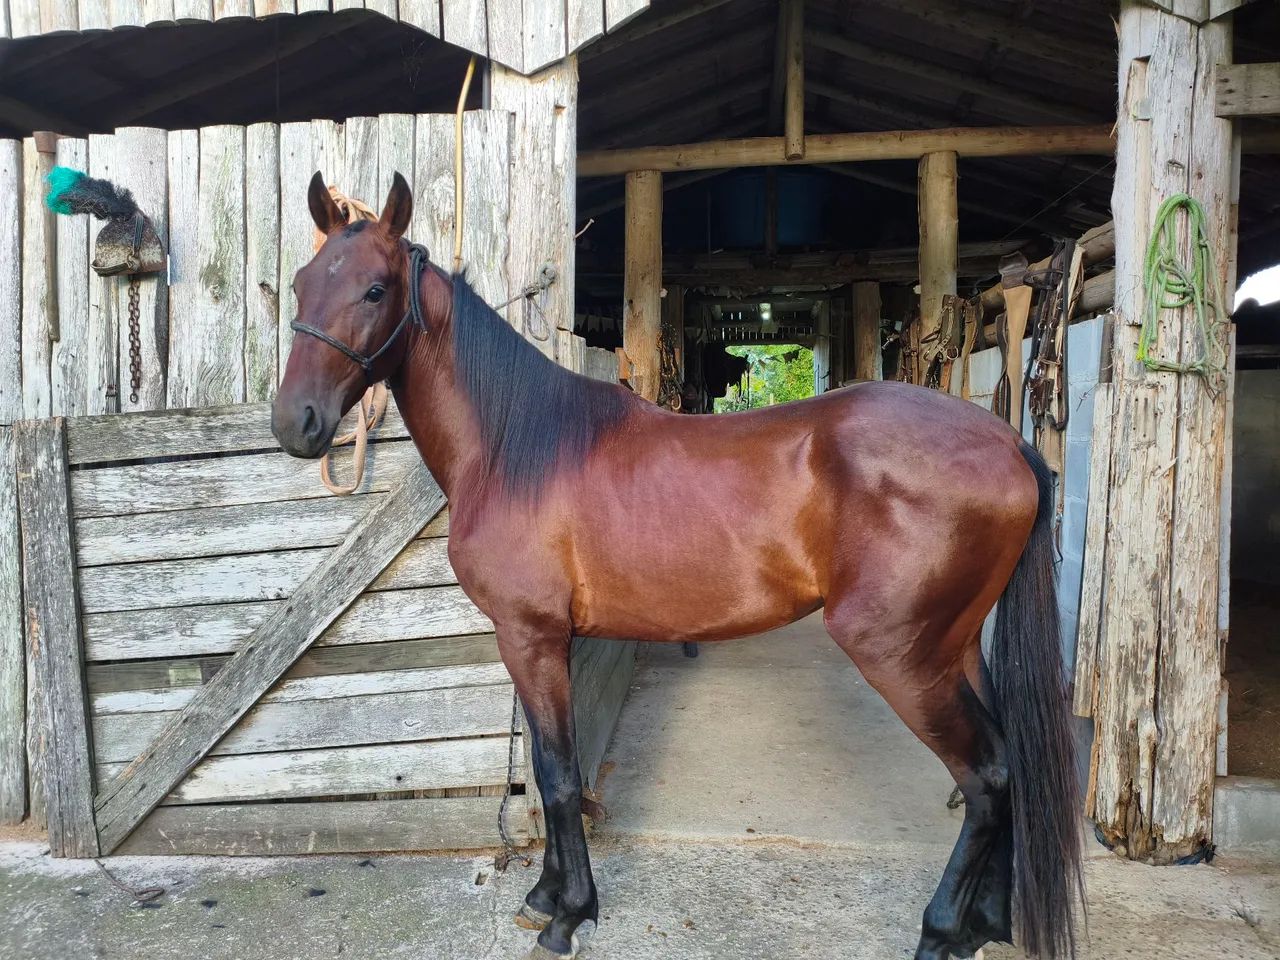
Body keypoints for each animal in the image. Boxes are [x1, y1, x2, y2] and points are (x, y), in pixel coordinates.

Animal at [272, 172, 1084, 960]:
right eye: (301, 283)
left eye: (376, 289)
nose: (295, 424)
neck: (516, 448)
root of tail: (1007, 443)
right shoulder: (535, 643)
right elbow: (551, 764)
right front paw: (545, 896)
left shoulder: (531, 638)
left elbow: (559, 778)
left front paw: (568, 915)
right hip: (955, 647)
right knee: (1011, 765)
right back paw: (986, 923)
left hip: (900, 654)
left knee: (986, 776)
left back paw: (941, 932)